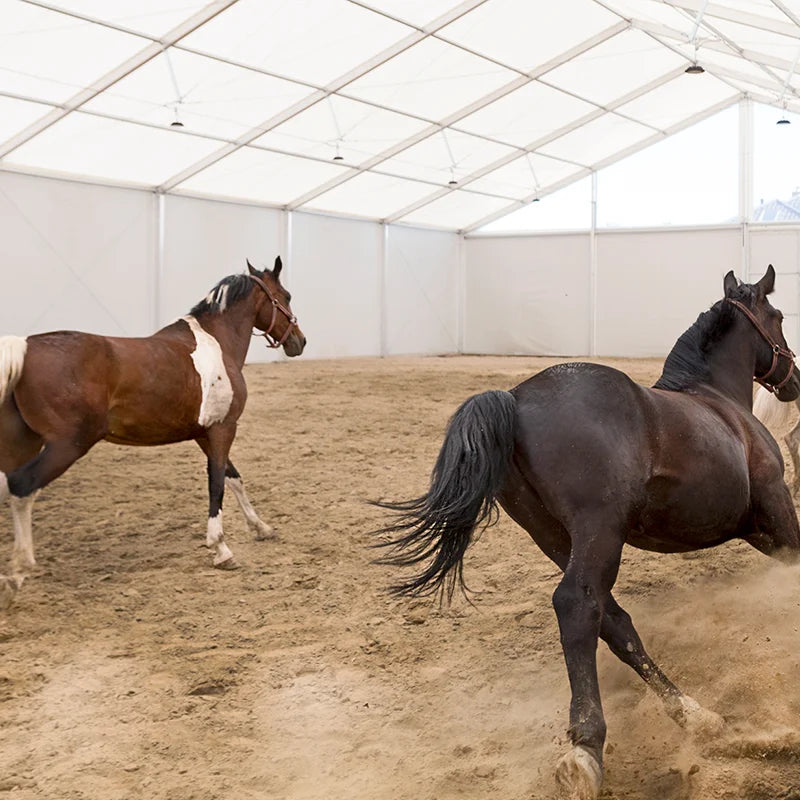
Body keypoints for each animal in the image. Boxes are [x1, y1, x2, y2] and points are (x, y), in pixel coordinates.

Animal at [0, 256, 305, 610]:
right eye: (286, 296)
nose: (300, 342)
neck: (218, 344)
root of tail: (25, 347)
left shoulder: (205, 433)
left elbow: (234, 478)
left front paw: (261, 527)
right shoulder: (223, 429)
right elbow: (217, 484)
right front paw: (221, 549)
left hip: (22, 444)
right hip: (67, 445)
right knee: (22, 487)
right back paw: (17, 574)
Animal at [375, 265, 800, 800]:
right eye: (778, 315)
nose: (794, 381)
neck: (718, 400)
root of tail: (515, 399)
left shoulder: (754, 529)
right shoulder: (774, 505)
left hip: (555, 538)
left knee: (614, 622)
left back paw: (696, 716)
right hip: (599, 531)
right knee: (579, 607)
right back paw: (587, 748)